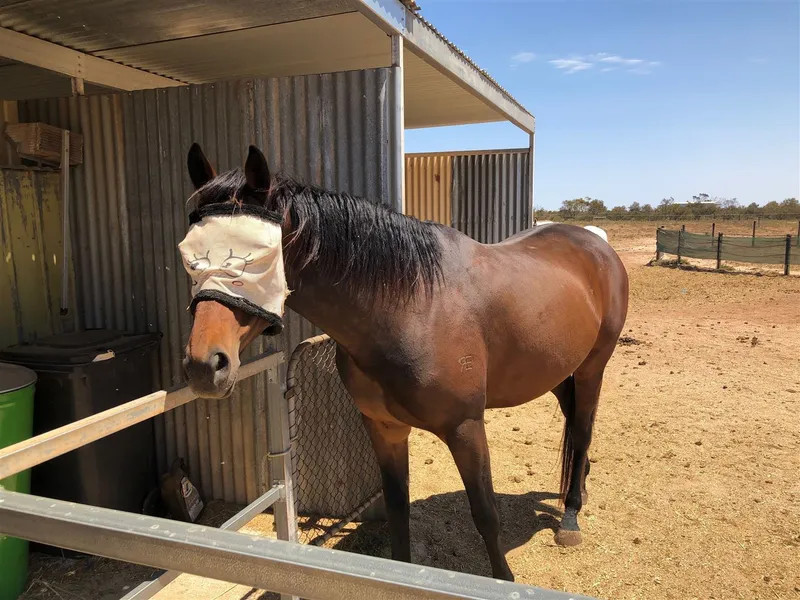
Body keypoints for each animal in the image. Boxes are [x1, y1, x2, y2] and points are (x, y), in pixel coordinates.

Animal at [179, 144, 629, 582]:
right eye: (188, 257)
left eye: (257, 258)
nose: (205, 366)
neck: (410, 307)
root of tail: (595, 243)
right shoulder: (385, 428)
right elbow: (398, 511)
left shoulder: (466, 428)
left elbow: (485, 514)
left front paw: (504, 579)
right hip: (556, 371)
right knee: (574, 421)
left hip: (592, 367)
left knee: (583, 429)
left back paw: (570, 517)